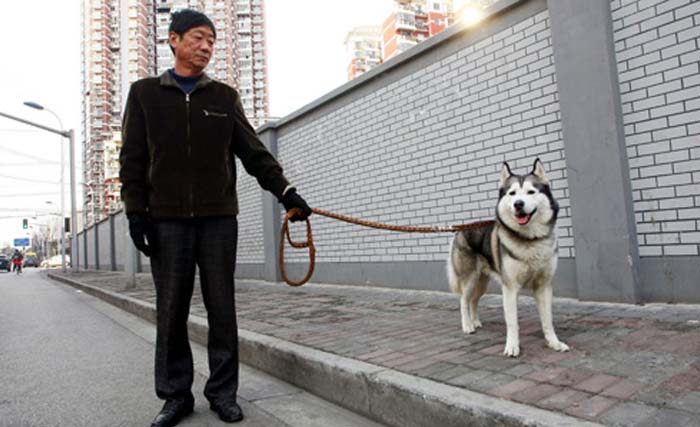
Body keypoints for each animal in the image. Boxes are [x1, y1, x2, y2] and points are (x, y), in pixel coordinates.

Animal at [448, 158, 568, 358]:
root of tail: (460, 228)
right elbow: (512, 322)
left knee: (473, 300)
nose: (518, 204)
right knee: (464, 300)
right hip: (470, 279)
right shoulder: (510, 288)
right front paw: (512, 347)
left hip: (483, 282)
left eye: (531, 192)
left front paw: (554, 343)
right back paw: (467, 325)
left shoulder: (544, 286)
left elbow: (547, 320)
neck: (530, 240)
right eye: (512, 193)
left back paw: (475, 322)